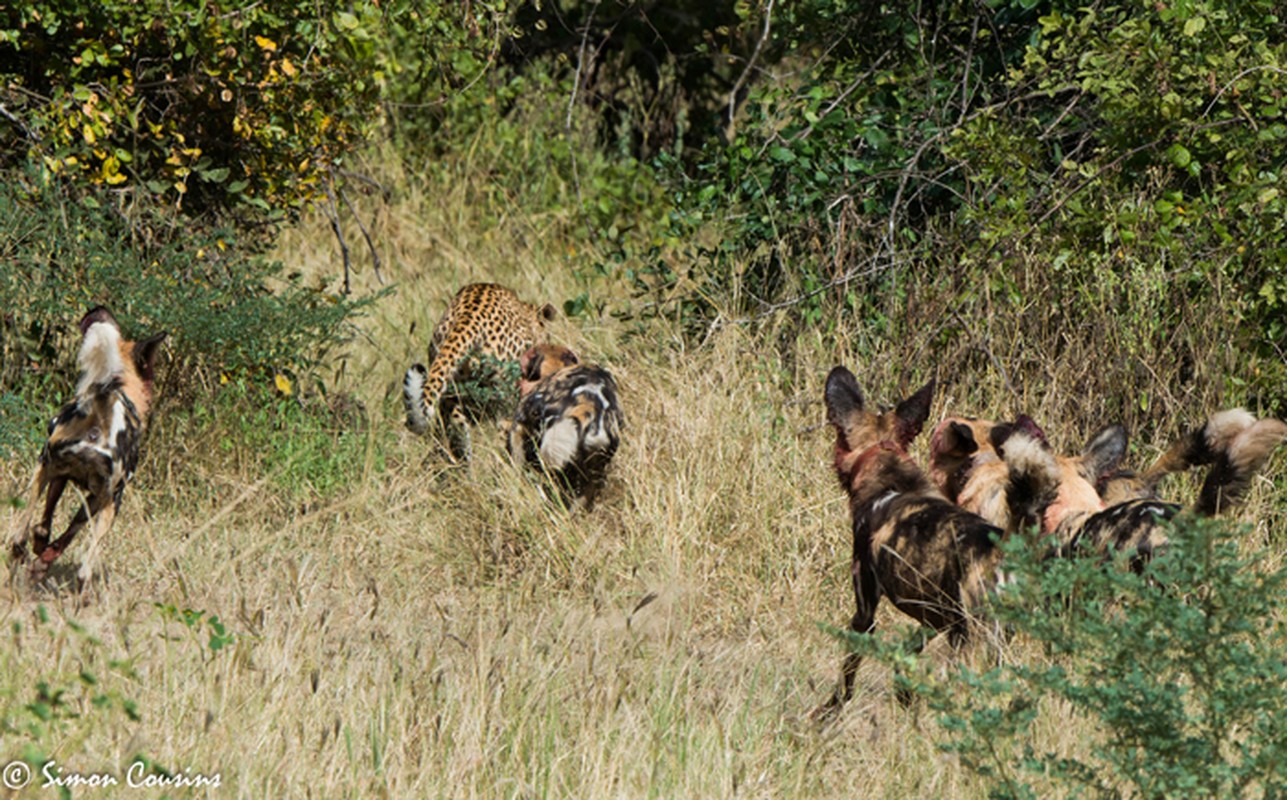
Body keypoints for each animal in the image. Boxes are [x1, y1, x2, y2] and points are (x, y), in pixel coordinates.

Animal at [8, 307, 168, 596]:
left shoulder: (60, 477)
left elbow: (45, 527)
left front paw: (39, 553)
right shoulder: (98, 498)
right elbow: (64, 536)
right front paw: (42, 564)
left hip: (43, 470)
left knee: (18, 539)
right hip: (109, 503)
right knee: (84, 572)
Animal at [818, 370, 1009, 720]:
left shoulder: (865, 610)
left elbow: (849, 669)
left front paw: (831, 709)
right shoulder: (934, 619)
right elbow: (907, 651)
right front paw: (904, 692)